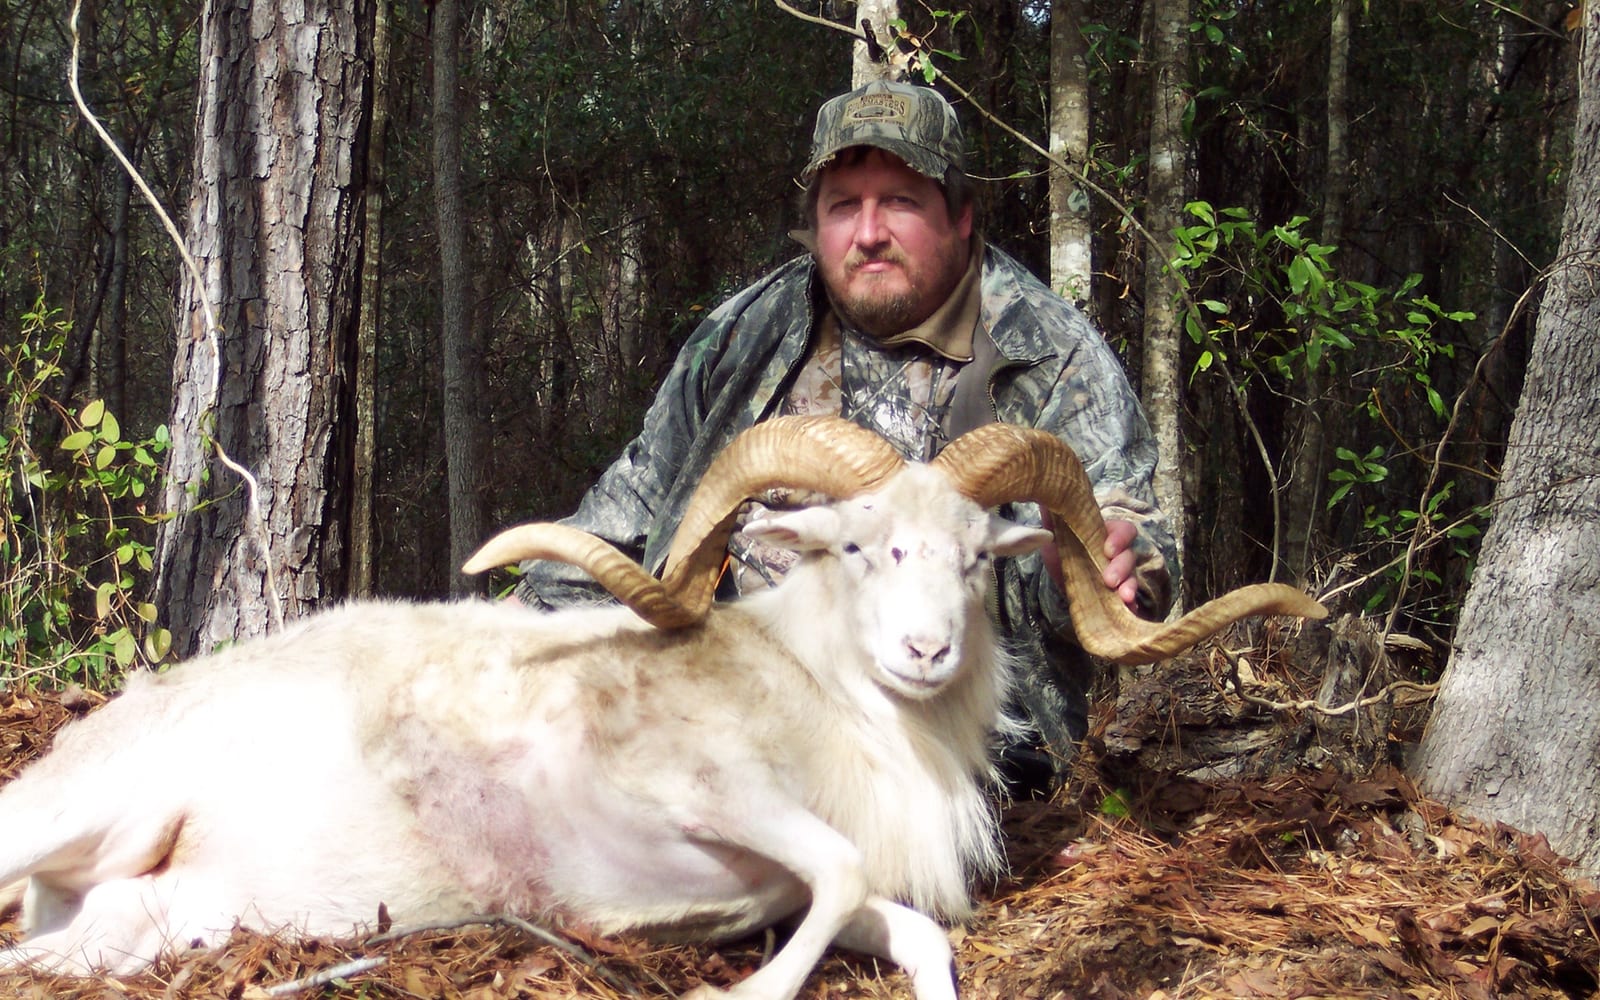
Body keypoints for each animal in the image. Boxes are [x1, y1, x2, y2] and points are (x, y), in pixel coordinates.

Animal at [0, 416, 1324, 998]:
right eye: (860, 545)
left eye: (972, 557)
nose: (926, 651)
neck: (828, 710)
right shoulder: (705, 798)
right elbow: (840, 868)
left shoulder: (804, 889)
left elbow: (912, 933)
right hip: (84, 814)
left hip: (158, 911)